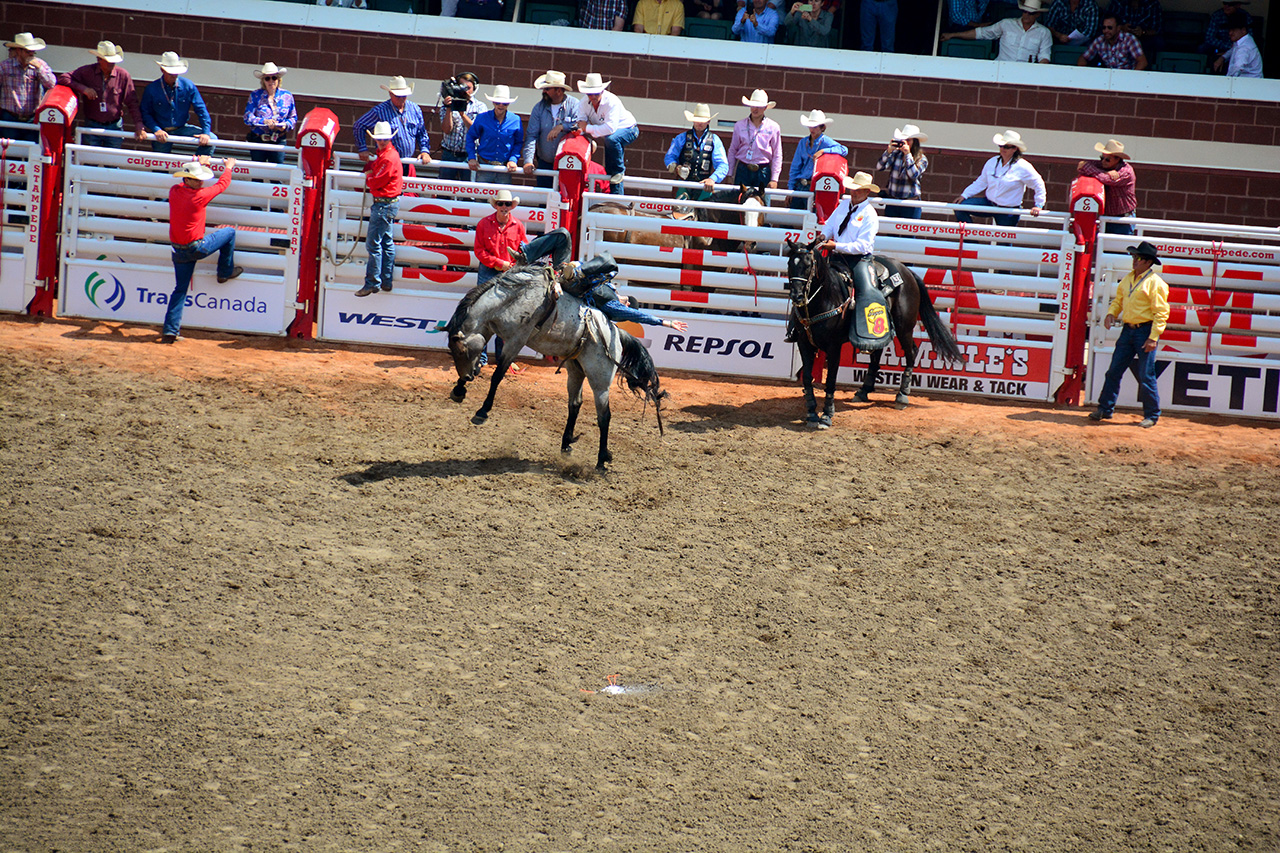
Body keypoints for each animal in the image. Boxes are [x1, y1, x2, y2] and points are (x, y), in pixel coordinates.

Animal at [783, 235, 962, 425]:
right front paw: (811, 411)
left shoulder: (834, 347)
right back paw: (864, 391)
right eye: (789, 263)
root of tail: (907, 271)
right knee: (877, 352)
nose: (797, 296)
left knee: (912, 351)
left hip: (904, 327)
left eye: (809, 264)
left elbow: (830, 379)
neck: (824, 299)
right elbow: (807, 377)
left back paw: (902, 395)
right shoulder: (804, 343)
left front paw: (827, 415)